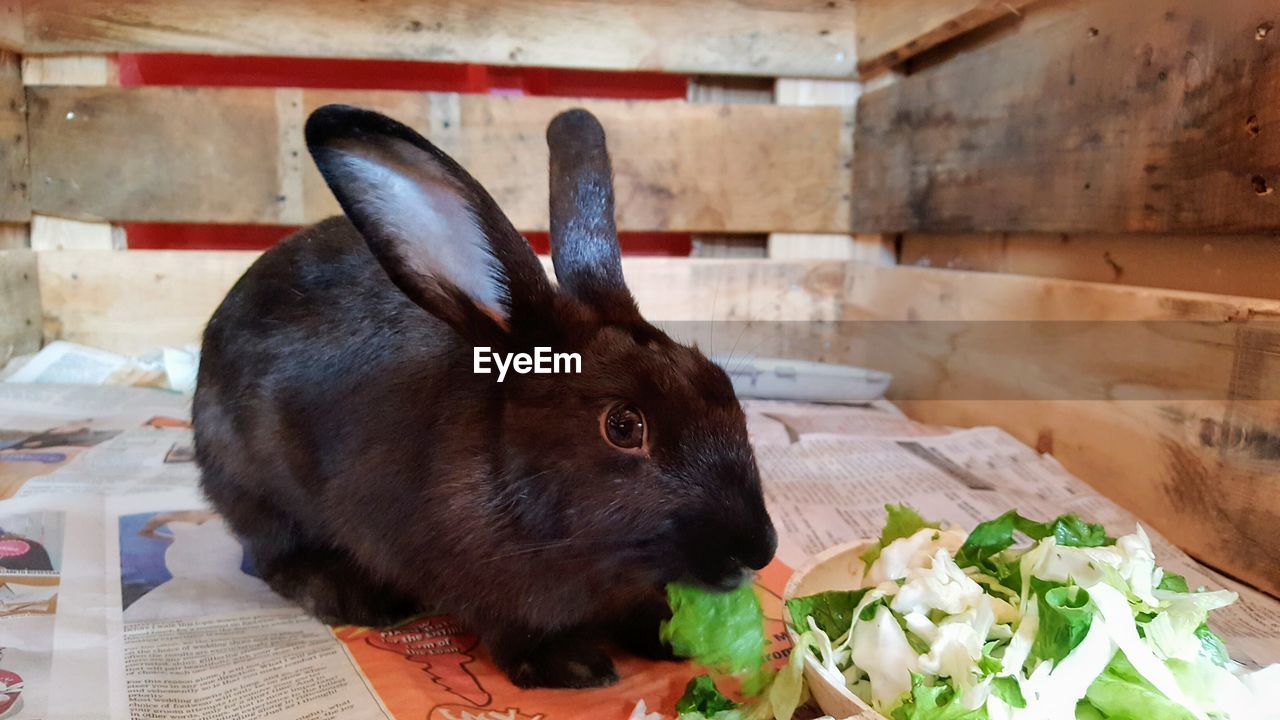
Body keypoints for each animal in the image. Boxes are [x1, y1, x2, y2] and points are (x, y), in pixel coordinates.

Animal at [190, 103, 773, 686]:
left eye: (721, 382)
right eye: (624, 427)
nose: (760, 551)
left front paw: (668, 637)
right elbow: (515, 632)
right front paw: (575, 666)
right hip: (258, 491)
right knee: (274, 557)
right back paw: (358, 598)